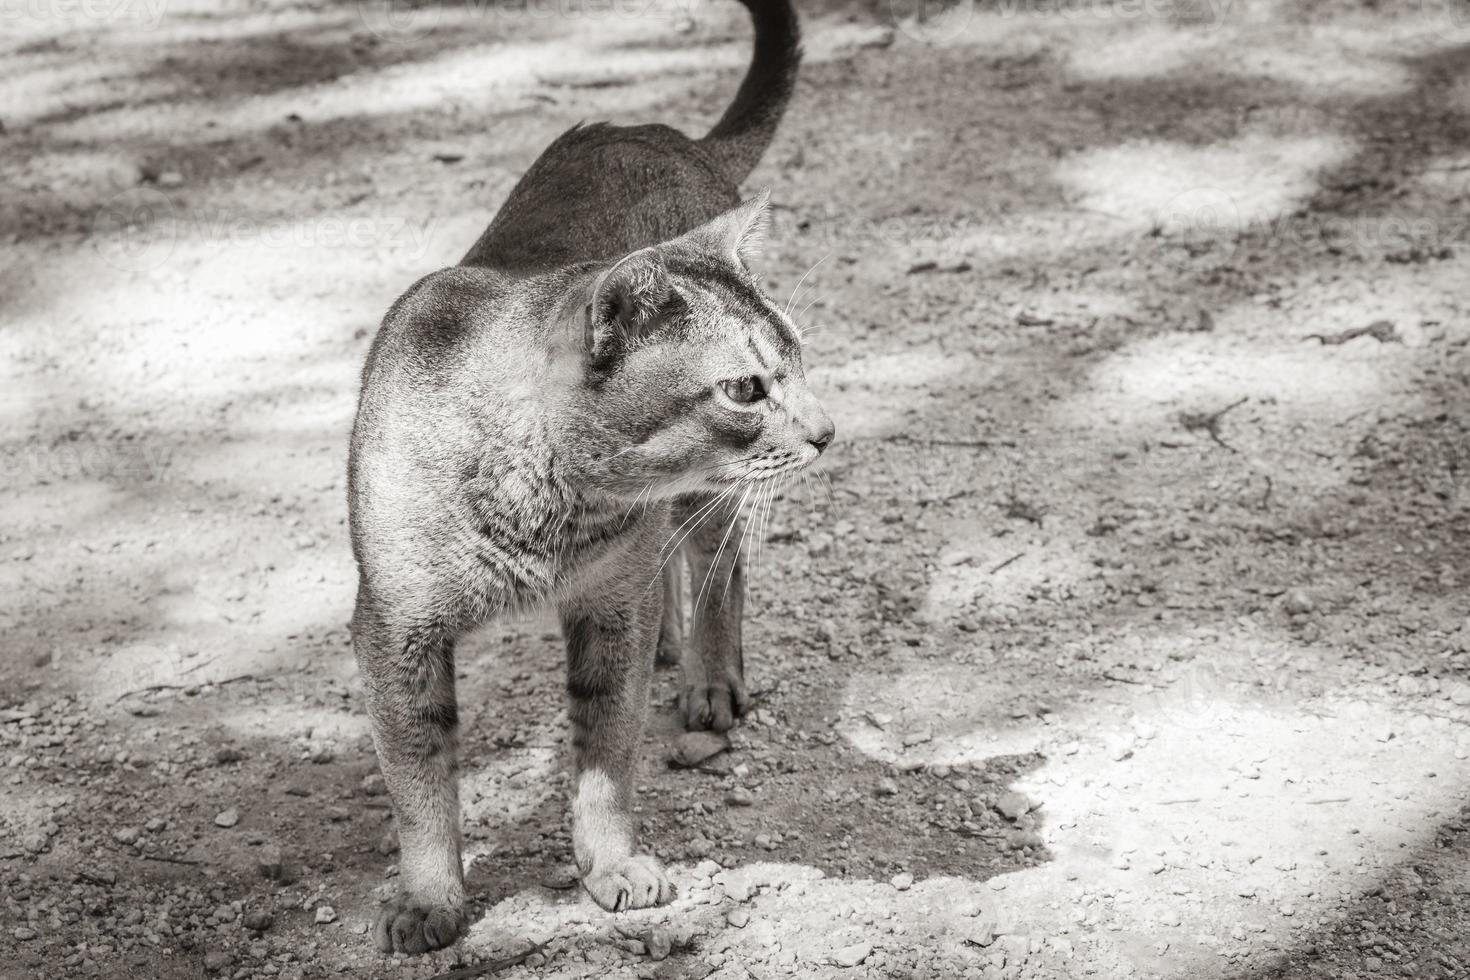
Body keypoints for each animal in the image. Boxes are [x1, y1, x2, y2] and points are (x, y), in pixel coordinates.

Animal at [343, 0, 829, 957]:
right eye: (747, 388)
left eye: (796, 365)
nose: (827, 432)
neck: (553, 516)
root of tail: (659, 131)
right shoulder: (395, 629)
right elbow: (422, 783)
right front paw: (429, 899)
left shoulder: (607, 610)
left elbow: (607, 756)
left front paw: (611, 864)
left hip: (713, 499)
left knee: (716, 568)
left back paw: (708, 679)